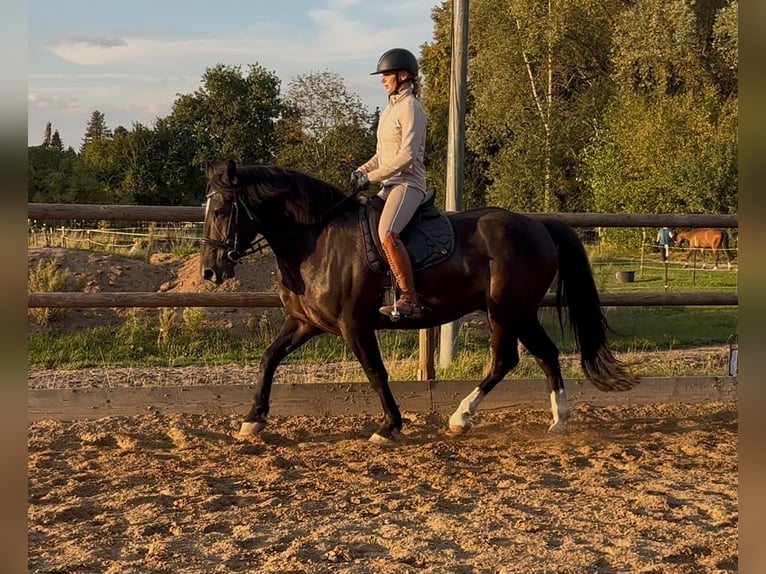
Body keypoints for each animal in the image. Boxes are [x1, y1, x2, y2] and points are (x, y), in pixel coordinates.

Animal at [199, 160, 639, 444]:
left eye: (221, 209)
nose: (209, 271)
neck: (318, 239)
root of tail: (538, 225)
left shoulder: (354, 325)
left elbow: (375, 372)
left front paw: (389, 426)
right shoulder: (306, 322)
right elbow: (269, 359)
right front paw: (252, 420)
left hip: (508, 311)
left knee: (512, 359)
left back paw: (468, 417)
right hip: (515, 312)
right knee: (536, 356)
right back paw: (549, 421)